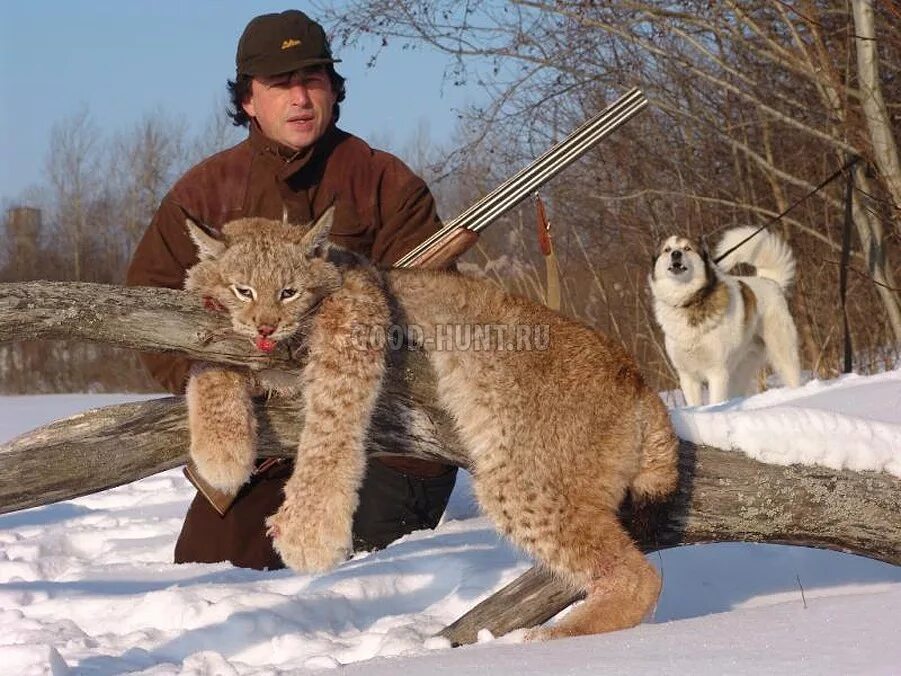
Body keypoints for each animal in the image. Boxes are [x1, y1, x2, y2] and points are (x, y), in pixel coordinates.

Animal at [648, 227, 800, 406]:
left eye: (687, 248)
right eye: (667, 249)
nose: (676, 254)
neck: (688, 302)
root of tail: (770, 280)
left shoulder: (717, 372)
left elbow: (715, 400)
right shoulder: (687, 376)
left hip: (782, 352)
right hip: (740, 369)